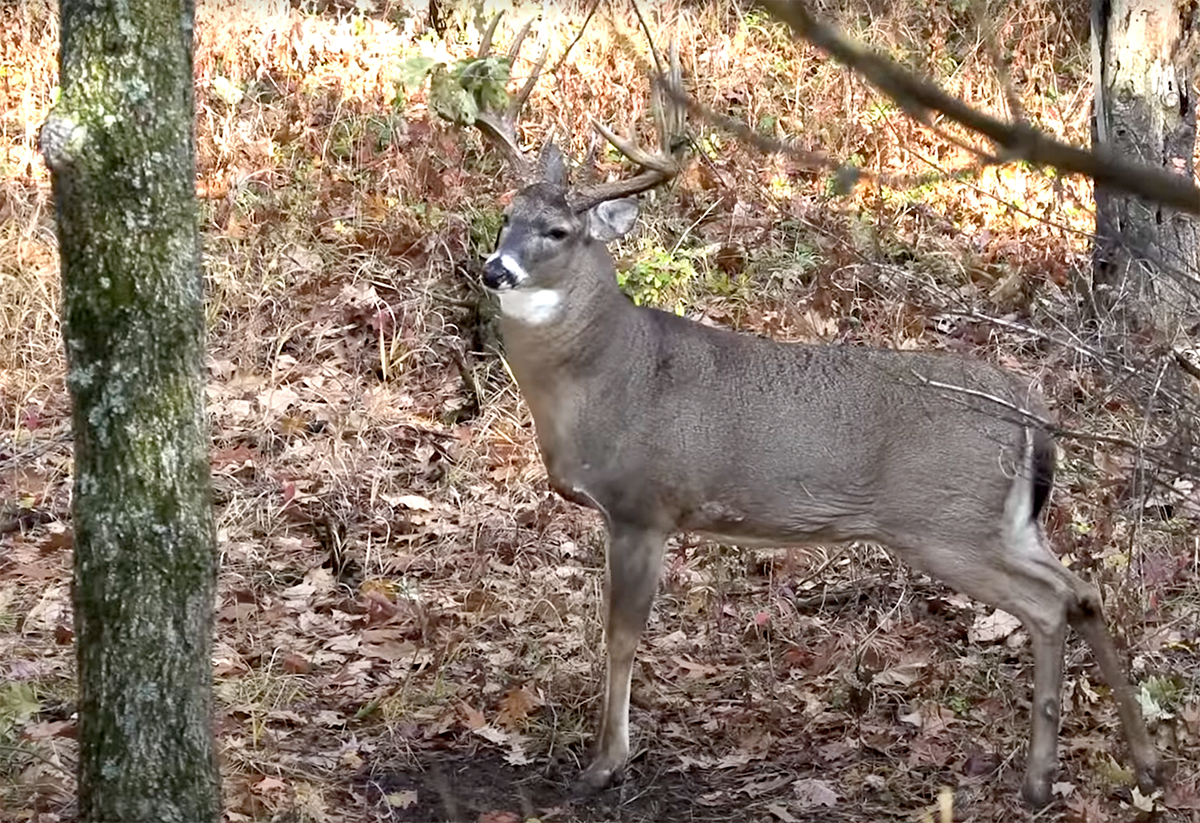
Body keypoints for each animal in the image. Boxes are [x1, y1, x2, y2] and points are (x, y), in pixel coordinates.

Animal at [470, 41, 1161, 811]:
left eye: (558, 231)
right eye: (507, 214)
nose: (495, 269)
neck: (607, 372)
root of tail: (1030, 410)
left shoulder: (643, 505)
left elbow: (621, 636)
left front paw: (606, 762)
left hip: (943, 521)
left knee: (1047, 606)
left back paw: (1040, 780)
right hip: (1005, 521)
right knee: (1084, 590)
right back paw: (1140, 763)